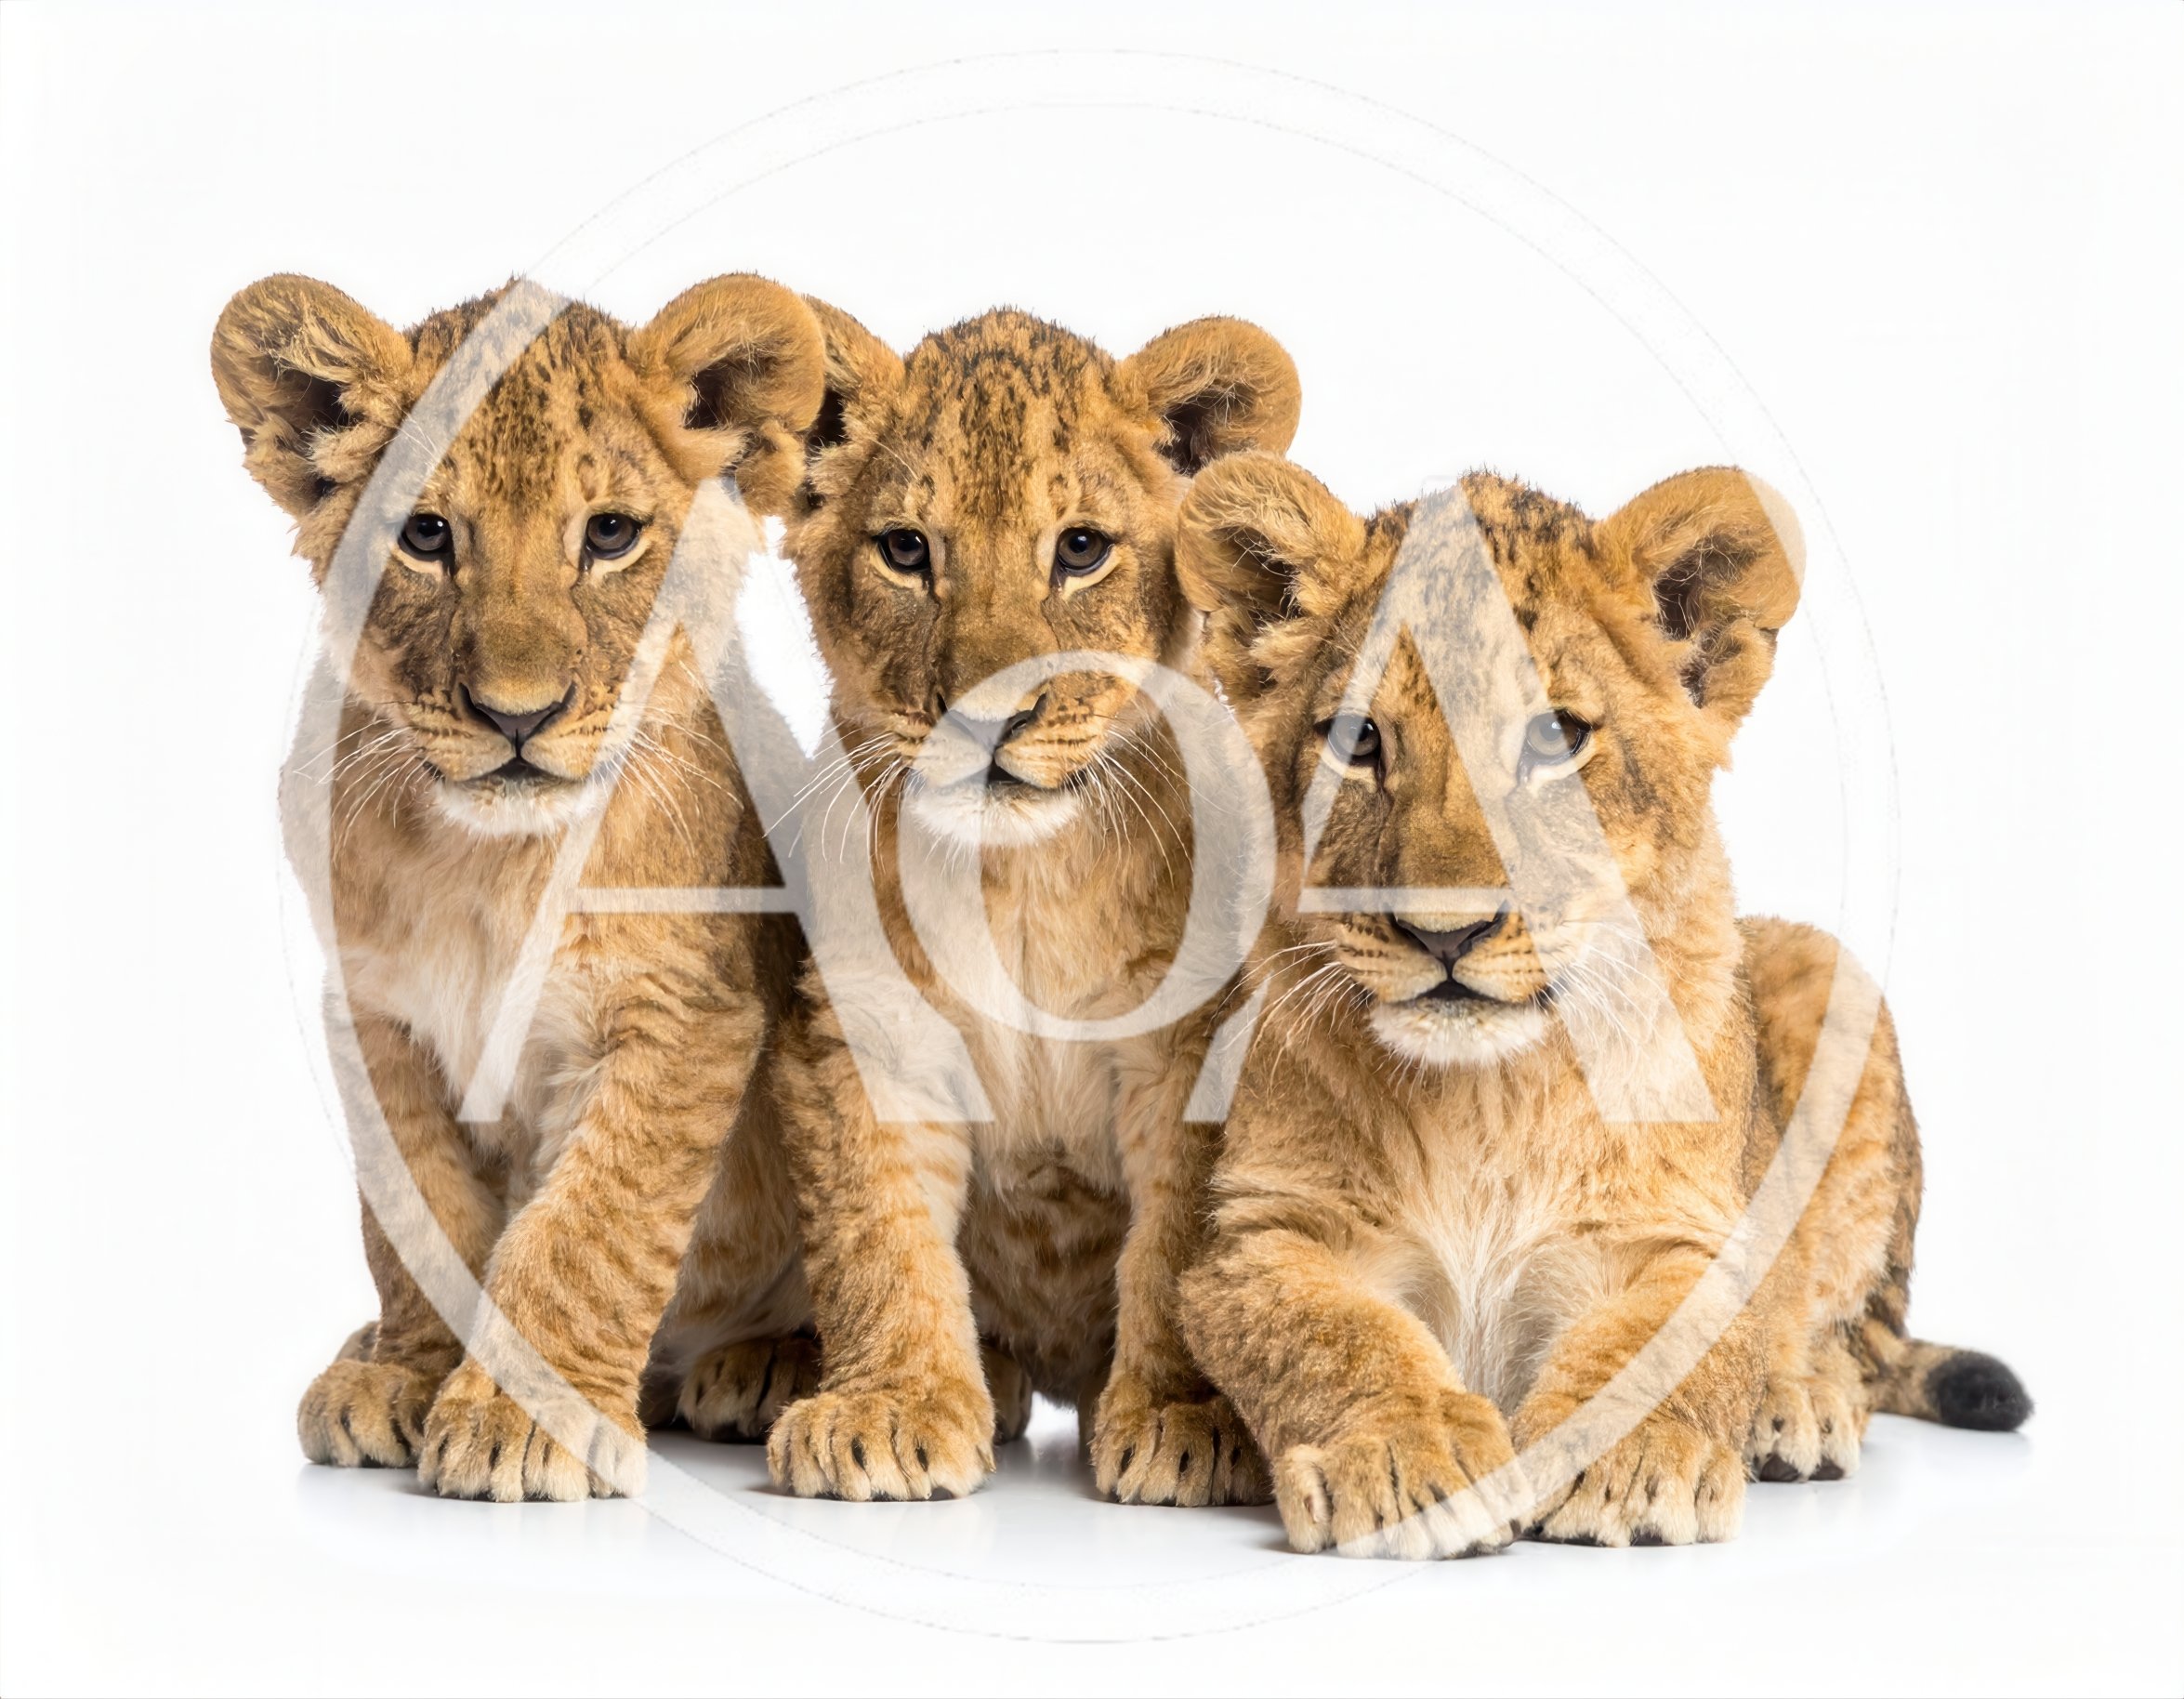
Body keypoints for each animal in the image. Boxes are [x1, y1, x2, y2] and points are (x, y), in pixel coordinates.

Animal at [213, 272, 826, 1500]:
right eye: (425, 535)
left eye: (609, 534)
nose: (516, 715)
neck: (488, 860)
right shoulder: (376, 1013)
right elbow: (418, 1218)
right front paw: (405, 1377)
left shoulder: (685, 1015)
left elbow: (588, 1224)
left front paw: (521, 1420)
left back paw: (765, 1369)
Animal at [745, 304, 1301, 1503]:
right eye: (907, 550)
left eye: (1080, 549)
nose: (988, 715)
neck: (1024, 885)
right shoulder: (866, 1029)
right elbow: (877, 1229)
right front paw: (893, 1406)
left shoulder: (1195, 1039)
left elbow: (1180, 1240)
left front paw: (1189, 1419)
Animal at [1168, 452, 2029, 1555]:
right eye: (1359, 739)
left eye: (1554, 738)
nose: (1444, 934)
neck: (1483, 1098)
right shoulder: (1259, 1238)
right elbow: (1336, 1336)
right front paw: (1409, 1456)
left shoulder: (1696, 1238)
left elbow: (1656, 1348)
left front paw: (1629, 1469)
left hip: (1828, 978)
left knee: (1864, 1346)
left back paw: (1798, 1407)